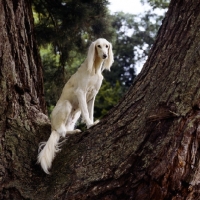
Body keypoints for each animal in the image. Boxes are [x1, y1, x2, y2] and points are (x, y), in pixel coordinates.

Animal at [36, 38, 113, 173]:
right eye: (98, 46)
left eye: (107, 46)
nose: (105, 55)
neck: (94, 69)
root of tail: (52, 127)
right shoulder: (81, 92)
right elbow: (86, 112)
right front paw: (90, 125)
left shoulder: (92, 96)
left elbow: (90, 112)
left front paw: (92, 123)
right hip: (66, 105)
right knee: (61, 132)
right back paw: (73, 131)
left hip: (75, 114)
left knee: (64, 131)